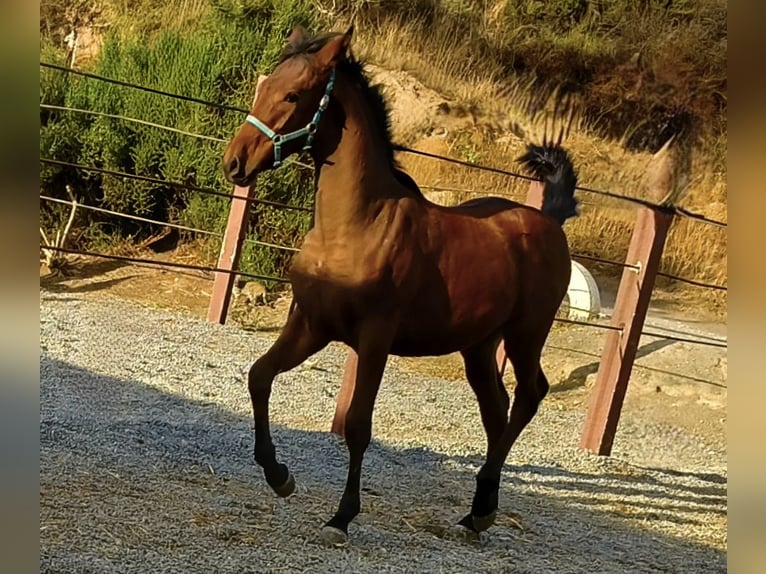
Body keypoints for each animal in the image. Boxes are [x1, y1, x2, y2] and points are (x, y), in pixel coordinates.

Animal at [222, 25, 579, 545]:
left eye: (292, 95)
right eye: (264, 86)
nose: (235, 163)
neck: (355, 227)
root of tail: (549, 220)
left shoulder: (374, 339)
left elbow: (358, 425)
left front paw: (342, 517)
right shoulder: (310, 325)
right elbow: (259, 376)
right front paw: (279, 476)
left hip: (526, 334)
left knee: (530, 396)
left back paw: (483, 508)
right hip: (478, 346)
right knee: (497, 411)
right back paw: (477, 514)